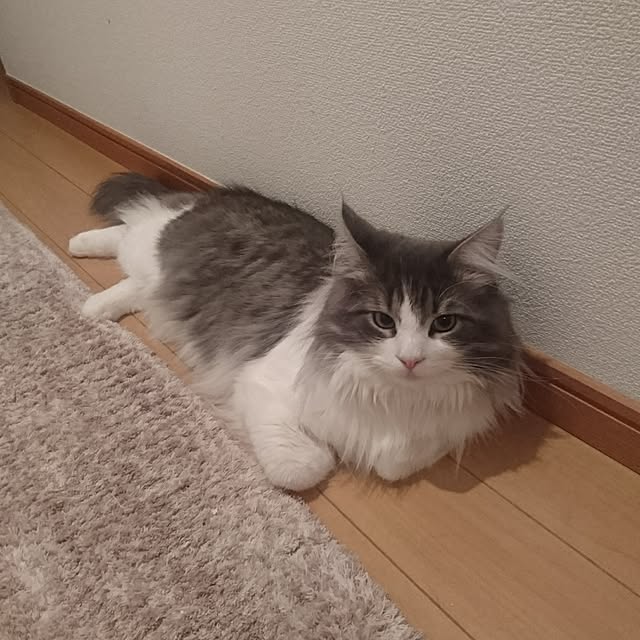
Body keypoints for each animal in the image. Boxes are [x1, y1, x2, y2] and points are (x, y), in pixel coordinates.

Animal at [69, 173, 523, 491]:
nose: (409, 359)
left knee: (138, 276)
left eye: (443, 324)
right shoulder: (261, 383)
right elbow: (304, 466)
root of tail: (211, 195)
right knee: (131, 225)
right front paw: (322, 455)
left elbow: (394, 462)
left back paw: (97, 305)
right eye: (383, 321)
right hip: (153, 247)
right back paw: (79, 251)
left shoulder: (446, 426)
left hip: (157, 278)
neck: (396, 398)